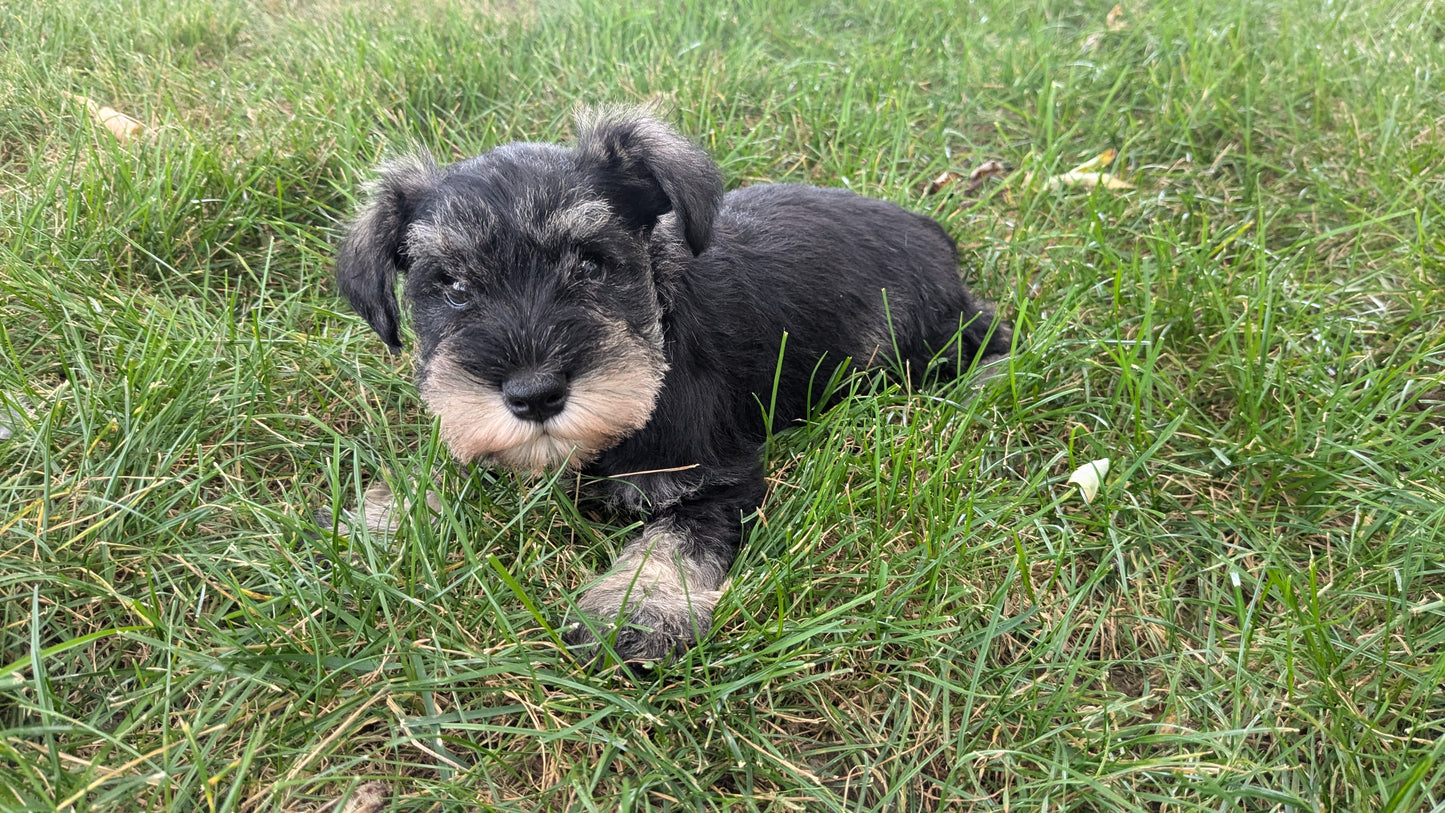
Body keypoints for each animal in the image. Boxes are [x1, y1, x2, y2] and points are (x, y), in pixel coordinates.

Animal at [339, 108, 1017, 667]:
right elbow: (454, 453)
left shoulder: (713, 479)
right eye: (452, 285)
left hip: (915, 339)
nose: (534, 394)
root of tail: (930, 230)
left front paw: (634, 613)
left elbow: (670, 543)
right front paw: (383, 517)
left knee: (991, 332)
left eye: (591, 263)